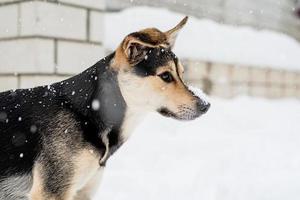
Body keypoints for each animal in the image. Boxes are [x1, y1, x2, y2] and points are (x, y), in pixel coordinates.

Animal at [0, 17, 210, 200]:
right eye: (165, 76)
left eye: (182, 73)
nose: (206, 105)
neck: (90, 115)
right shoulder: (52, 191)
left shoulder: (83, 191)